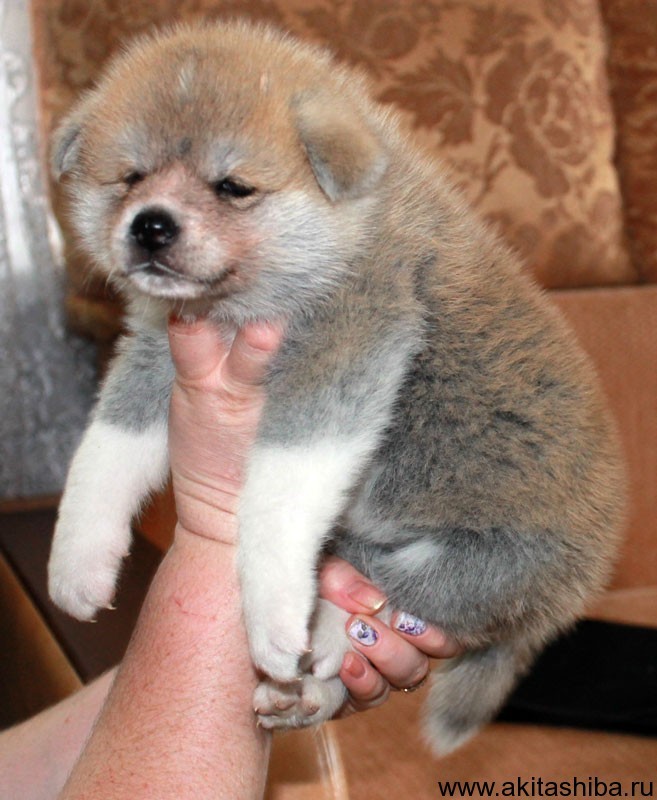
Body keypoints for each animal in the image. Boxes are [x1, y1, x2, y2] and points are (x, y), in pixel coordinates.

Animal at [48, 20, 625, 754]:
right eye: (131, 177)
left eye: (232, 186)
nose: (149, 224)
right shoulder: (159, 348)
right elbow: (105, 450)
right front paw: (78, 560)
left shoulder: (348, 345)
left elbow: (276, 498)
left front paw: (271, 612)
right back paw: (305, 690)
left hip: (475, 566)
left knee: (396, 593)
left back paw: (319, 634)